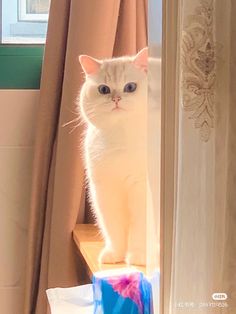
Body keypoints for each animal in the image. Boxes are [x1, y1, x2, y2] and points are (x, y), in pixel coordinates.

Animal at [78, 48, 148, 264]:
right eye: (104, 90)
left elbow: (139, 228)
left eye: (130, 87)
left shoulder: (140, 190)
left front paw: (137, 256)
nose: (116, 99)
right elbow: (113, 227)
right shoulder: (105, 192)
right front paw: (115, 254)